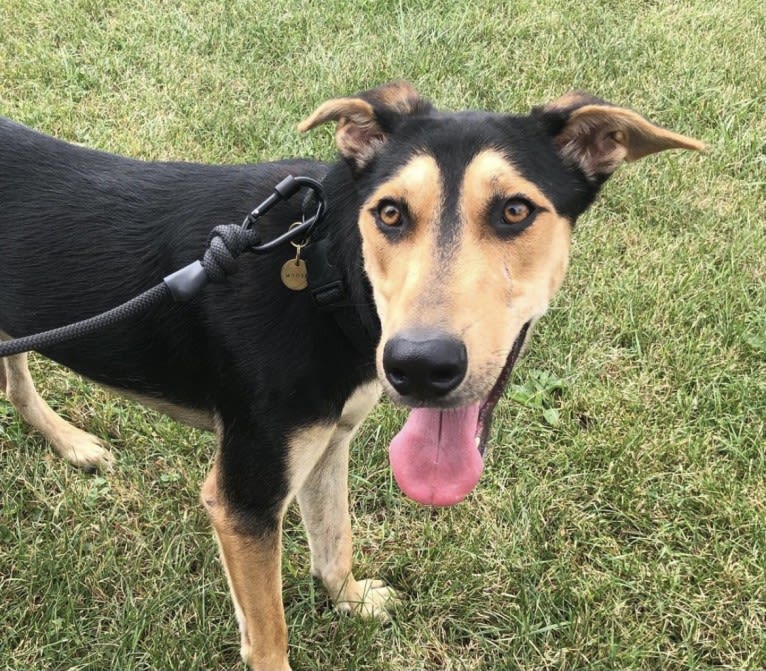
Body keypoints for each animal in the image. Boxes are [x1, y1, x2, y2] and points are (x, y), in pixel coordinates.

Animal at [0, 81, 704, 668]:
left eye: (514, 212)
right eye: (389, 213)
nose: (419, 365)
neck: (326, 273)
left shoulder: (327, 439)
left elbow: (333, 541)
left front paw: (352, 600)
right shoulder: (244, 499)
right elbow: (269, 637)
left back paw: (69, 442)